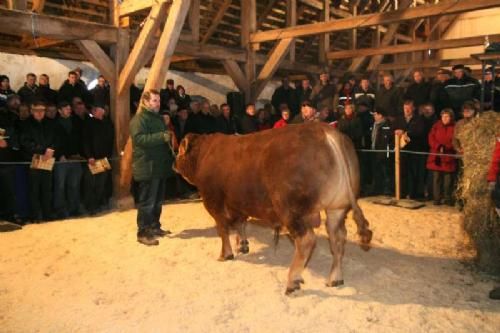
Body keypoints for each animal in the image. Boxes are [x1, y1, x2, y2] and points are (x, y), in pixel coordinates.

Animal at [175, 122, 372, 294]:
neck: (205, 153)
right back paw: (335, 278)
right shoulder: (239, 203)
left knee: (307, 240)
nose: (174, 164)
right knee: (338, 238)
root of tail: (324, 130)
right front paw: (242, 245)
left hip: (292, 211)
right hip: (336, 209)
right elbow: (240, 224)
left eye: (178, 151)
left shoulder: (213, 201)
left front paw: (226, 254)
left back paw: (293, 281)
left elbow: (223, 229)